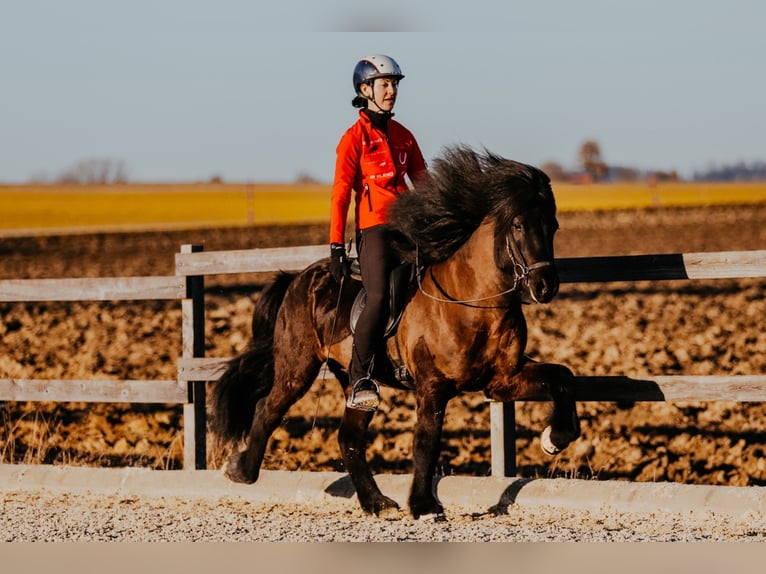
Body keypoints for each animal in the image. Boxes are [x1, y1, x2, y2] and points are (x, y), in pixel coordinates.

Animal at [208, 145, 581, 520]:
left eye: (553, 226)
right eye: (518, 225)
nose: (545, 286)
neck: (473, 303)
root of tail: (297, 279)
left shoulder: (502, 380)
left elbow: (562, 376)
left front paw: (556, 437)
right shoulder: (432, 387)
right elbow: (425, 443)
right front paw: (425, 505)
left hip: (354, 380)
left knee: (349, 437)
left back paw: (376, 502)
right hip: (297, 367)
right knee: (268, 409)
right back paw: (240, 470)